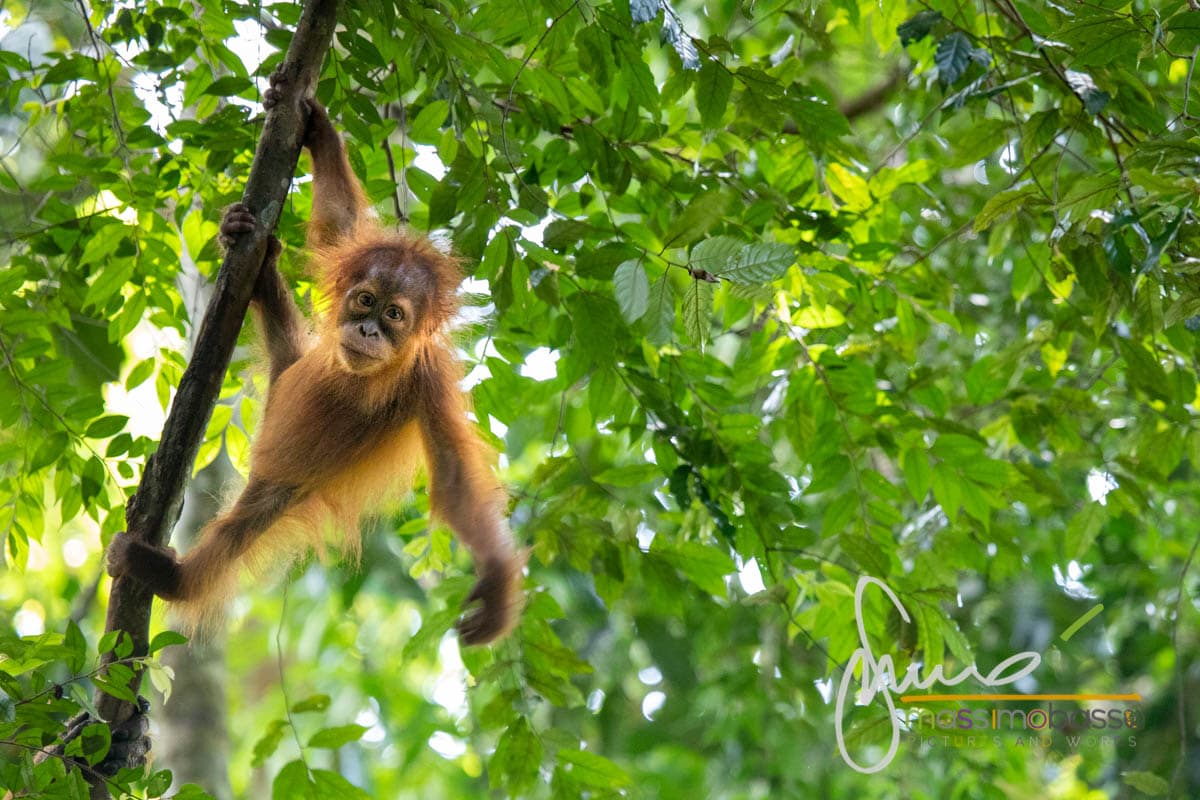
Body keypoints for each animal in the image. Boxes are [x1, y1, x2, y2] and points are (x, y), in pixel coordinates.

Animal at [107, 78, 524, 645]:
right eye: (365, 301)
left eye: (395, 314)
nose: (368, 329)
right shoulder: (348, 258)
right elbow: (336, 224)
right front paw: (321, 131)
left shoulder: (431, 379)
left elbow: (456, 481)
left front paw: (498, 586)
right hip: (286, 378)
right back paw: (255, 254)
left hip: (282, 489)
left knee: (235, 536)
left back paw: (170, 578)